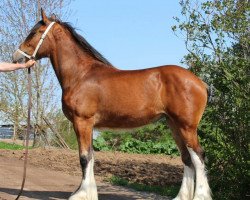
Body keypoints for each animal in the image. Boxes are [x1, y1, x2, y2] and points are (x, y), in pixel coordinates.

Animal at [12, 10, 212, 200]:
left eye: (34, 32)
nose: (16, 57)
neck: (81, 75)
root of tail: (201, 83)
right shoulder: (89, 125)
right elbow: (91, 157)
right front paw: (89, 193)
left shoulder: (82, 122)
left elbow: (84, 158)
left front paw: (80, 194)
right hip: (174, 125)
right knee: (186, 158)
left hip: (187, 126)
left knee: (198, 156)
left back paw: (200, 196)